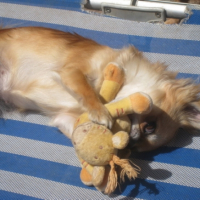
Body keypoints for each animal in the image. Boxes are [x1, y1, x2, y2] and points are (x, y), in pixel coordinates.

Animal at [0, 26, 199, 152]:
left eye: (136, 150)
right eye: (150, 127)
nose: (129, 144)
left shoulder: (64, 117)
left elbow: (79, 131)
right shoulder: (71, 71)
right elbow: (87, 91)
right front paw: (100, 111)